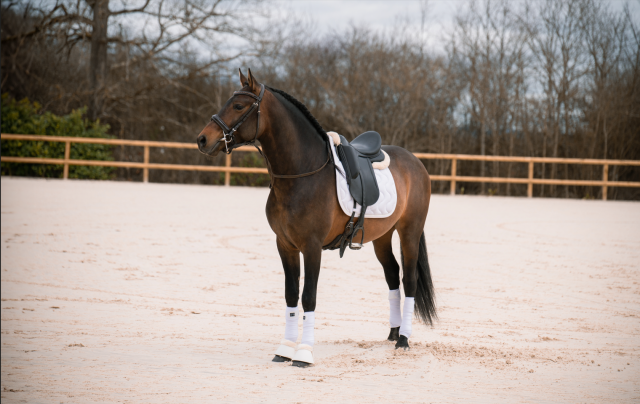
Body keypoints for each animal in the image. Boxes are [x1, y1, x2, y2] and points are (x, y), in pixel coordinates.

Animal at [196, 69, 436, 367]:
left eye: (239, 106)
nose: (203, 139)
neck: (302, 172)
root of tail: (415, 162)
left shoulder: (311, 248)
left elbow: (308, 296)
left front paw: (304, 354)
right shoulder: (285, 246)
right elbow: (291, 295)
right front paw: (285, 348)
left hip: (409, 232)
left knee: (409, 280)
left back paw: (403, 339)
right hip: (382, 236)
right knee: (392, 275)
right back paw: (392, 333)